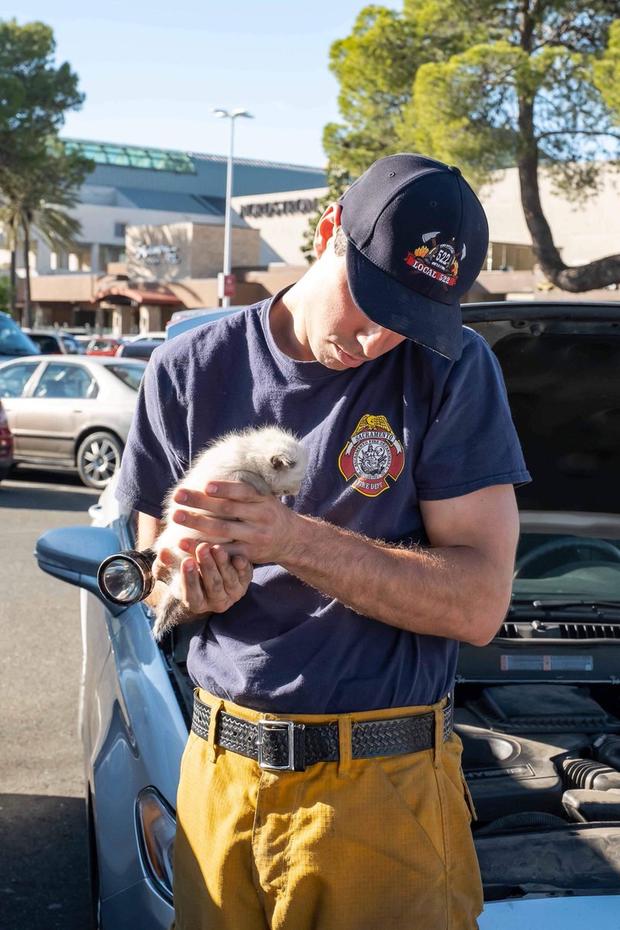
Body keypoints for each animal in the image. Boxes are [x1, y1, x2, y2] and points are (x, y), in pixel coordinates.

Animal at [150, 426, 306, 640]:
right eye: (293, 484)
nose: (298, 491)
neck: (250, 454)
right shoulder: (225, 477)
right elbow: (245, 476)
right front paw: (263, 488)